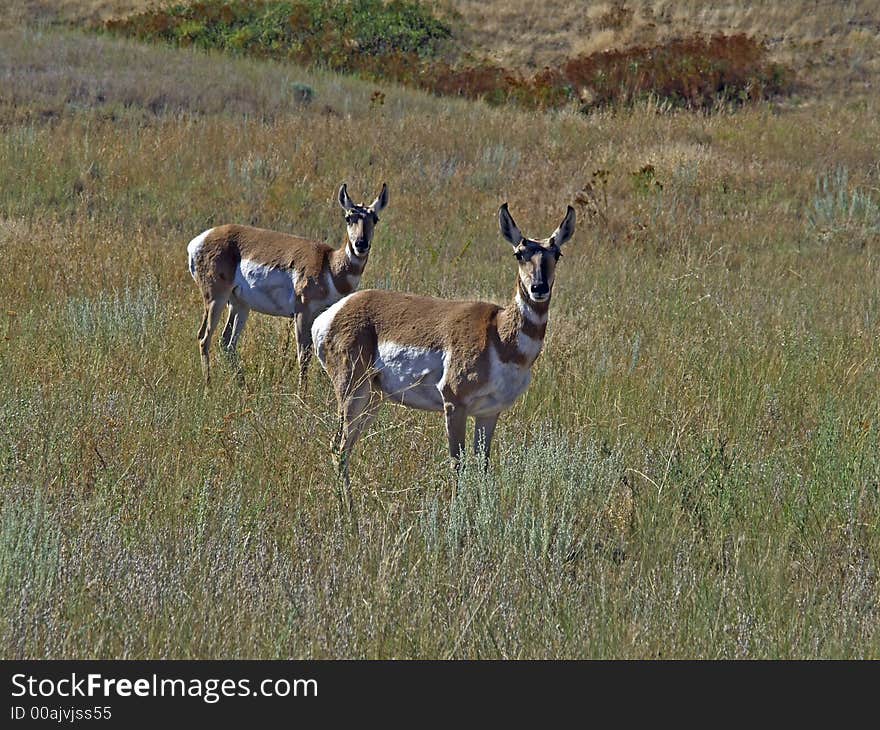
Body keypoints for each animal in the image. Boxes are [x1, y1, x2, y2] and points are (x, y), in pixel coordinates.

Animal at [187, 182, 386, 384]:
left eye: (375, 219)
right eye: (348, 217)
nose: (361, 244)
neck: (329, 264)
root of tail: (199, 240)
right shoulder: (302, 313)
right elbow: (304, 356)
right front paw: (301, 392)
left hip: (239, 305)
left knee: (227, 343)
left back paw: (243, 386)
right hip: (216, 299)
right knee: (204, 337)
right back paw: (208, 385)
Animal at [312, 202, 576, 504]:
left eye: (557, 253)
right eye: (519, 253)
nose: (539, 288)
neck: (499, 335)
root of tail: (333, 313)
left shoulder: (489, 412)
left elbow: (483, 466)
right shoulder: (454, 404)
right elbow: (457, 466)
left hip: (373, 398)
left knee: (345, 446)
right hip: (352, 391)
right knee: (338, 447)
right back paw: (349, 512)